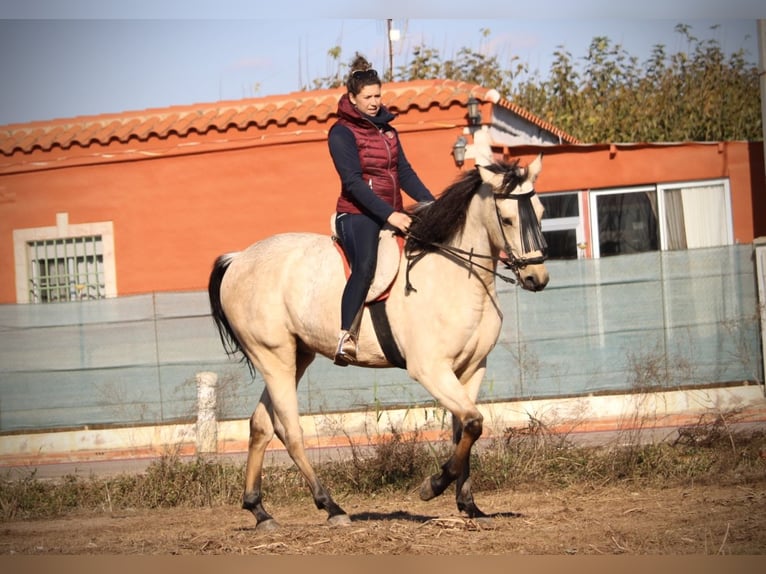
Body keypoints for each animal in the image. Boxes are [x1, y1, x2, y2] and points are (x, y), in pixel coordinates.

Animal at [208, 156, 552, 532]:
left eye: (541, 210)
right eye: (507, 219)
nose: (537, 279)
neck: (455, 275)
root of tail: (238, 259)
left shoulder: (471, 368)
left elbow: (465, 429)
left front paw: (469, 505)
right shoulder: (430, 369)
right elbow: (474, 423)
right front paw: (433, 486)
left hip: (298, 356)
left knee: (261, 425)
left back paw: (259, 510)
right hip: (274, 357)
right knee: (290, 430)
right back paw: (331, 507)